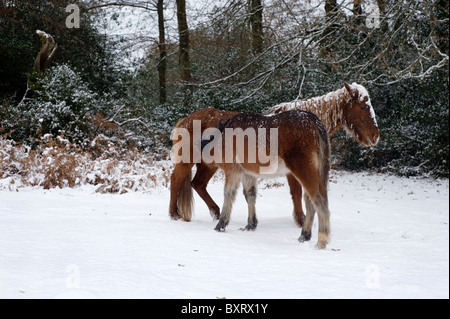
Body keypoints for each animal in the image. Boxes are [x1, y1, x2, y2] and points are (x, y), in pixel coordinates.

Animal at [169, 82, 380, 226]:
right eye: (363, 107)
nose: (375, 136)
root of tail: (185, 119)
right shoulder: (293, 170)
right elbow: (297, 193)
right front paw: (301, 220)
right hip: (187, 161)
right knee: (176, 180)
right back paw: (174, 214)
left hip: (208, 165)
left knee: (198, 184)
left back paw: (215, 212)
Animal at [207, 112, 330, 250]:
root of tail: (312, 118)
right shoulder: (248, 174)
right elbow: (250, 195)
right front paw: (251, 224)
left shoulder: (232, 171)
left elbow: (228, 194)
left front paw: (221, 224)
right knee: (310, 201)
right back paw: (304, 235)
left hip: (303, 169)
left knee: (319, 199)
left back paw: (321, 240)